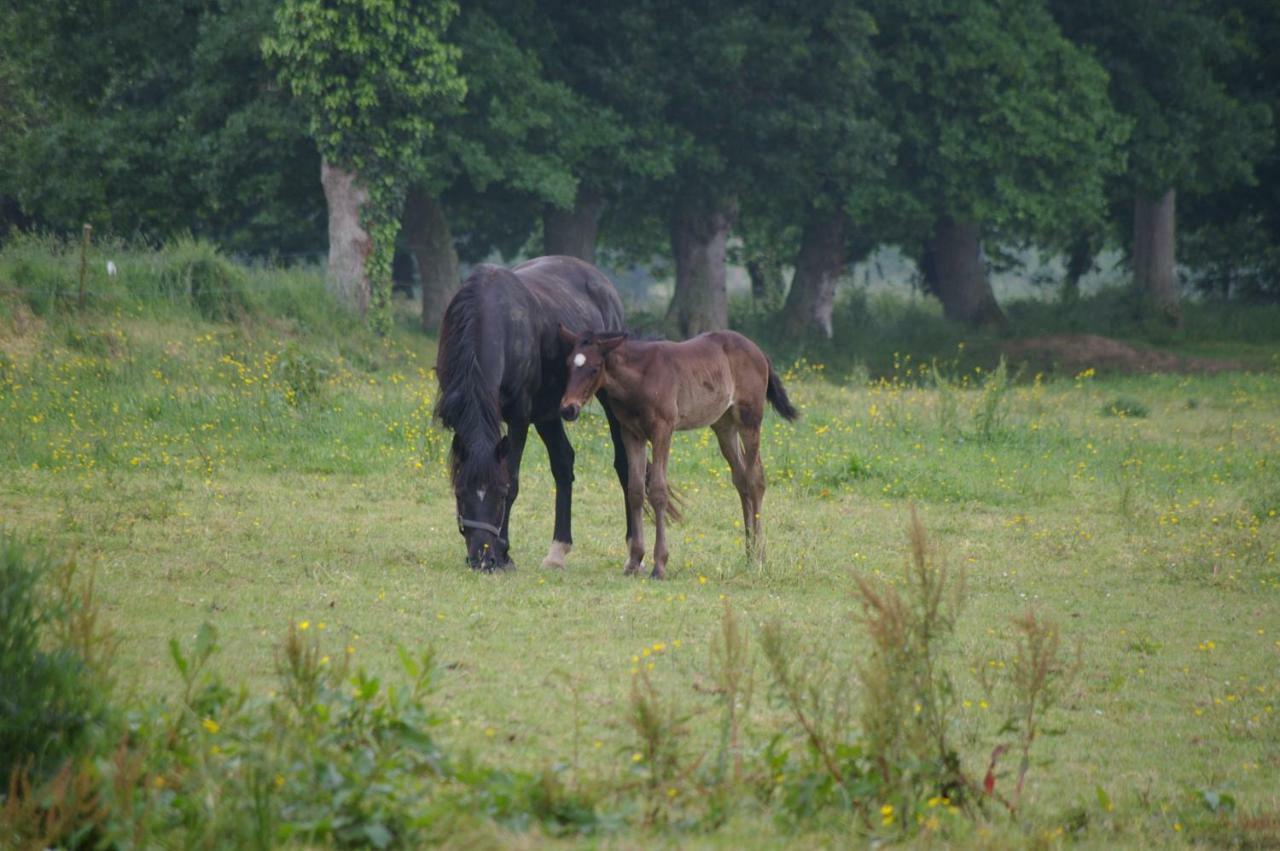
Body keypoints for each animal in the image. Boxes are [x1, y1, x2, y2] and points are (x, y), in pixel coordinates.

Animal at [555, 325, 793, 578]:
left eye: (594, 368)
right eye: (568, 364)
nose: (568, 409)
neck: (641, 377)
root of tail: (759, 351)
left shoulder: (663, 430)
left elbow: (658, 491)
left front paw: (659, 565)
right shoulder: (631, 434)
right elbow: (635, 490)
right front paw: (634, 561)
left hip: (750, 420)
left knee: (755, 479)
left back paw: (758, 559)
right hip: (724, 424)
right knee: (741, 479)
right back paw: (748, 554)